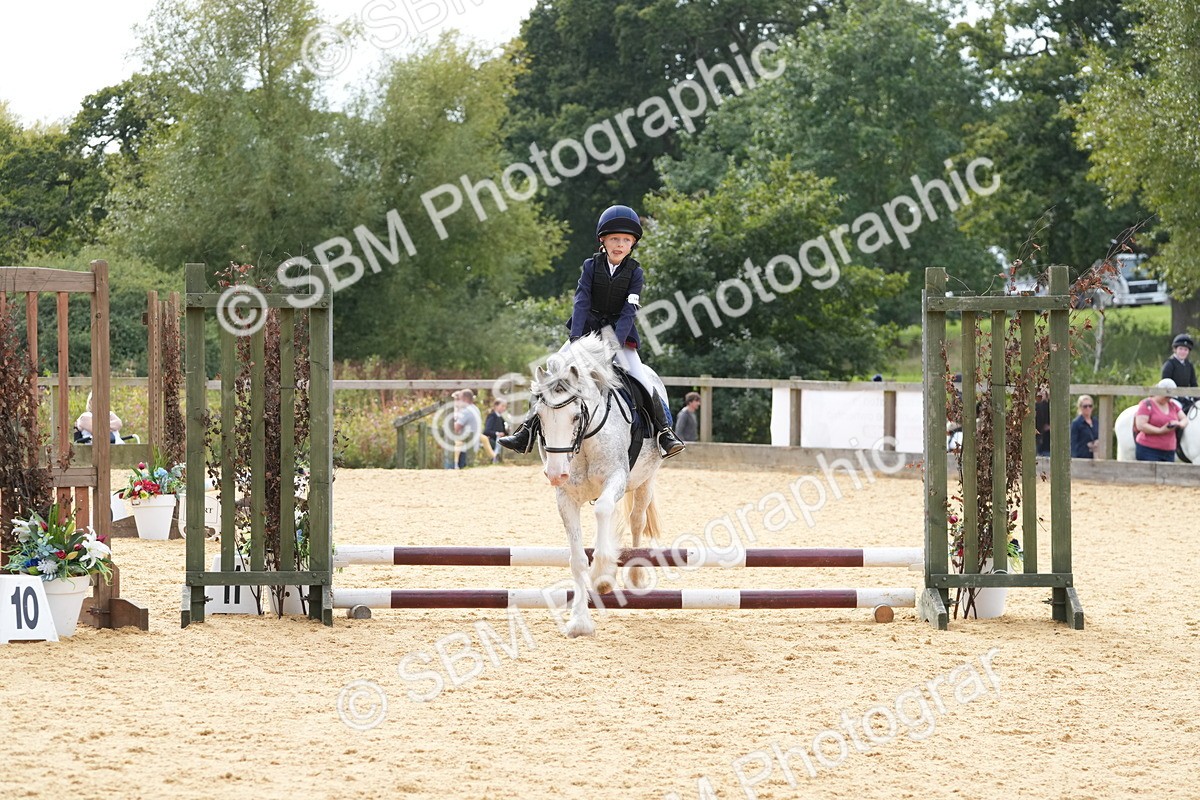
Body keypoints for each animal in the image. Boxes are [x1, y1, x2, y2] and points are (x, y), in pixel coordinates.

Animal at [531, 333, 666, 637]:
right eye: (539, 416)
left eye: (575, 416)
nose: (555, 474)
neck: (584, 441)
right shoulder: (566, 497)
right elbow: (578, 559)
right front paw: (579, 621)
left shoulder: (616, 478)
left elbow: (603, 510)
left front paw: (603, 576)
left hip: (646, 480)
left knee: (637, 521)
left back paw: (635, 577)